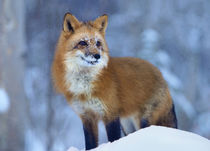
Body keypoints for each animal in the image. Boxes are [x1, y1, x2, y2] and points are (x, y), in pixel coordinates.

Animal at [51, 13, 176, 150]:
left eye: (98, 43)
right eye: (83, 42)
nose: (97, 56)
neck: (84, 87)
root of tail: (162, 75)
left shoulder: (110, 114)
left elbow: (114, 139)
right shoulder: (87, 117)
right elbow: (90, 144)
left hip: (143, 121)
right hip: (127, 125)